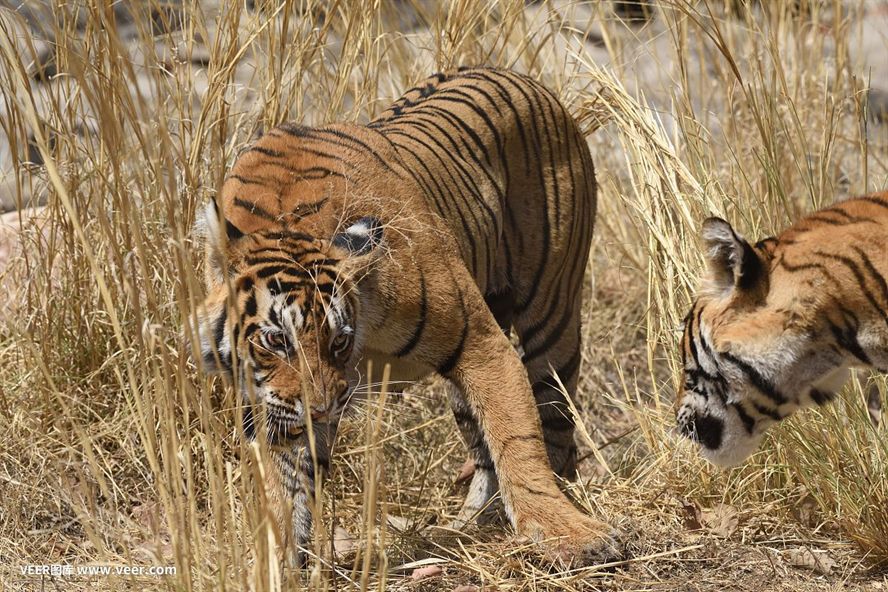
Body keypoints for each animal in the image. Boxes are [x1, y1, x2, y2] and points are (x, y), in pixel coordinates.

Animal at [192, 67, 618, 565]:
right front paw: (279, 562)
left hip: (553, 311)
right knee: (482, 445)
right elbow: (286, 487)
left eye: (339, 340)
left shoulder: (480, 341)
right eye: (276, 340)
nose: (321, 409)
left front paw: (567, 533)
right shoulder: (272, 401)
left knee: (554, 426)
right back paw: (470, 524)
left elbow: (517, 438)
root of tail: (522, 77)